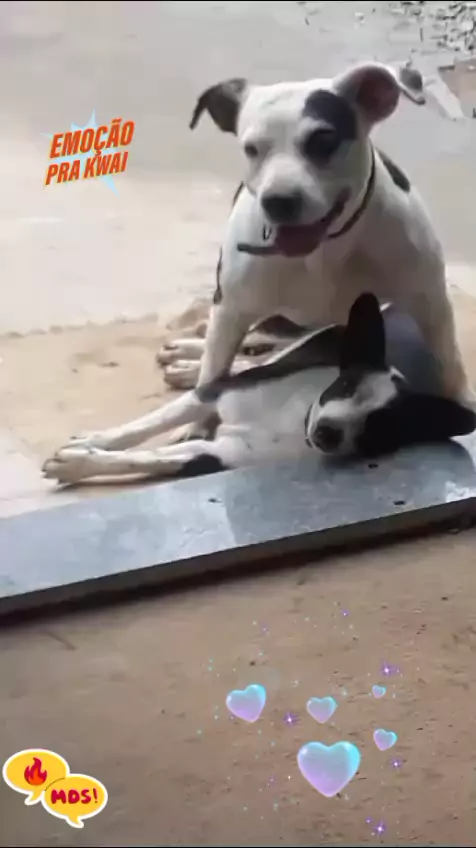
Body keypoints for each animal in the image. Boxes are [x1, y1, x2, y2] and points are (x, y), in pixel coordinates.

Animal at [42, 293, 475, 486]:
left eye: (381, 428)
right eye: (345, 385)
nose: (328, 433)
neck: (295, 421)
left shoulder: (216, 456)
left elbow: (149, 458)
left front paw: (78, 464)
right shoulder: (219, 392)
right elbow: (143, 427)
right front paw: (92, 443)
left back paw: (184, 367)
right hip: (316, 338)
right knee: (257, 350)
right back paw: (186, 359)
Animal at [154, 62, 470, 417]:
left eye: (323, 140)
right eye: (252, 149)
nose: (278, 200)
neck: (325, 252)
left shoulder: (430, 300)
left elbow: (451, 365)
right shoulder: (231, 309)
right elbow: (214, 370)